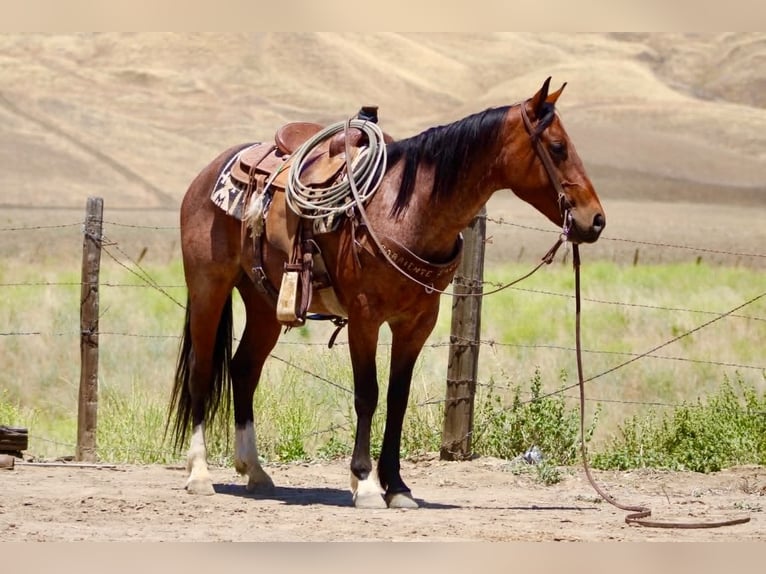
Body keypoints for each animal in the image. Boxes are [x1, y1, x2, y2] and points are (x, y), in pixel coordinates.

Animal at [167, 77, 605, 508]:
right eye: (557, 147)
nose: (596, 220)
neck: (406, 210)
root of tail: (207, 174)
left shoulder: (417, 323)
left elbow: (397, 398)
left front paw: (397, 485)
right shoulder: (365, 318)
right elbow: (368, 394)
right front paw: (364, 482)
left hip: (264, 302)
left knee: (243, 369)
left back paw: (254, 471)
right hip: (209, 287)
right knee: (202, 371)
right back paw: (200, 474)